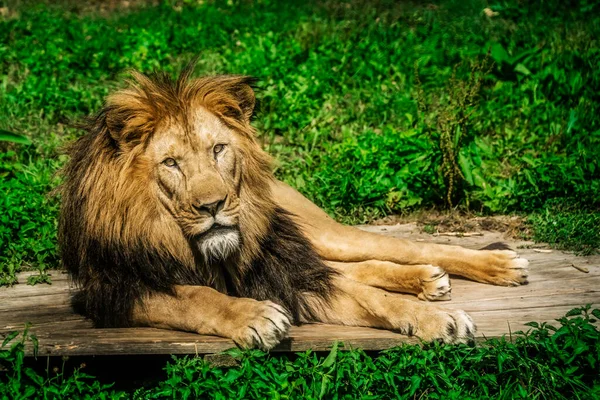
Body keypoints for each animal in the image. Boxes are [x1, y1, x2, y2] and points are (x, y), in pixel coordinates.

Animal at [58, 65, 528, 350]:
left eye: (218, 149)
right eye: (171, 163)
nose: (213, 205)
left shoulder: (290, 273)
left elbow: (373, 299)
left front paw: (438, 320)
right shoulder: (114, 290)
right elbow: (195, 297)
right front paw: (253, 315)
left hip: (322, 234)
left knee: (406, 249)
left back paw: (497, 266)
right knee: (359, 266)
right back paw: (427, 279)